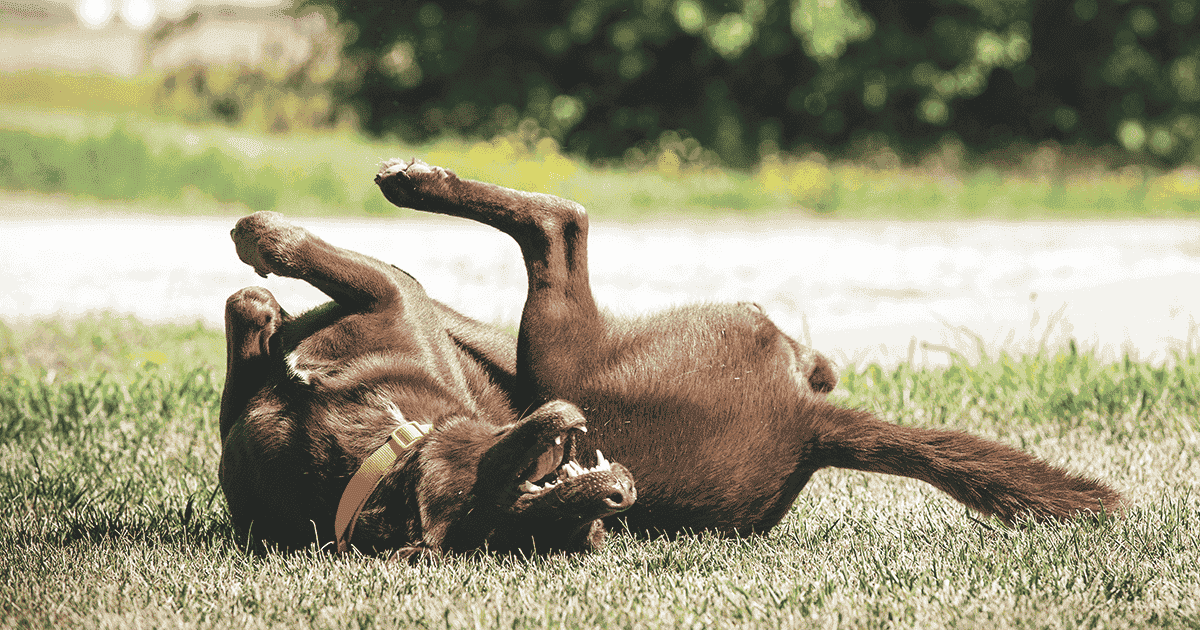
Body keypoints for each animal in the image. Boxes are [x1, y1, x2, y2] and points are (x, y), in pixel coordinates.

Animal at [218, 159, 1123, 556]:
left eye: (525, 491)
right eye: (536, 512)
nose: (620, 496)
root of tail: (810, 425)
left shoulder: (395, 298)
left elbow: (325, 265)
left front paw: (267, 244)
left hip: (557, 348)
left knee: (559, 222)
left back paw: (413, 183)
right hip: (559, 353)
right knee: (559, 229)